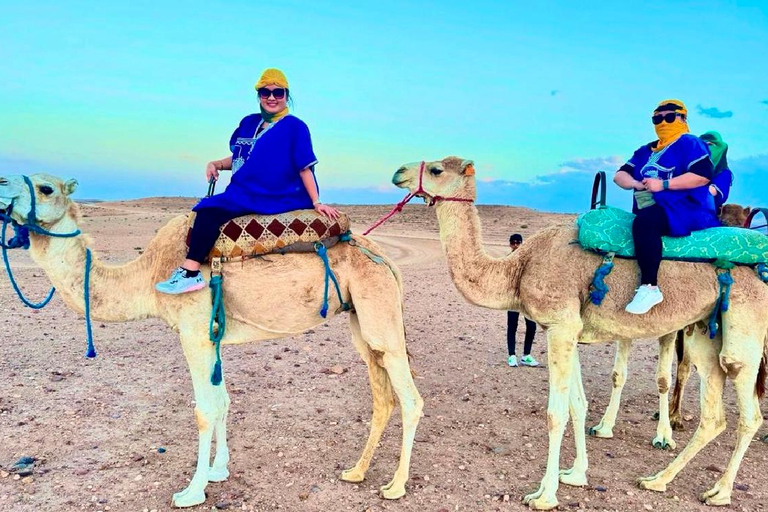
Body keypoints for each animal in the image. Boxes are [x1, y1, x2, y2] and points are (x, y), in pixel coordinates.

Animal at [0, 173, 423, 508]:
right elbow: (222, 403)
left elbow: (204, 410)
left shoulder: (194, 333)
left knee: (410, 397)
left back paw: (395, 486)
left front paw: (192, 491)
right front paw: (219, 470)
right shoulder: (211, 335)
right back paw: (356, 471)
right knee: (382, 395)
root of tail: (386, 259)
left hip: (380, 310)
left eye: (46, 188)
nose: (3, 191)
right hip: (360, 322)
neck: (148, 274)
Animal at [392, 157, 768, 509]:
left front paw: (544, 494)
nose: (398, 173)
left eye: (437, 169)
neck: (518, 268)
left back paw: (719, 491)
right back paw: (658, 479)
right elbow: (578, 405)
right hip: (705, 331)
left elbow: (555, 413)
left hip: (745, 327)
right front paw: (575, 474)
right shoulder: (564, 330)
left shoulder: (561, 325)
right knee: (714, 415)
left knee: (748, 410)